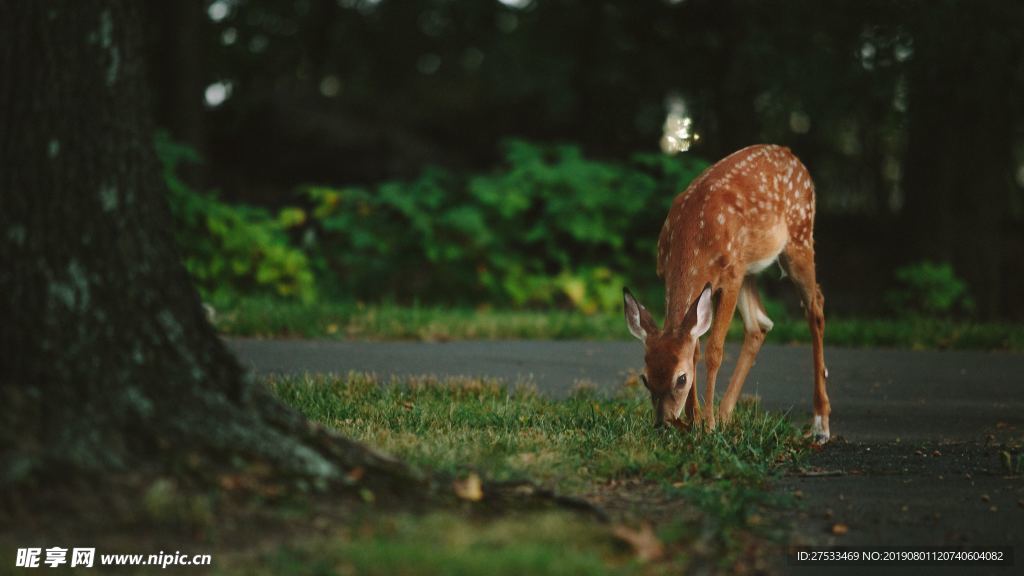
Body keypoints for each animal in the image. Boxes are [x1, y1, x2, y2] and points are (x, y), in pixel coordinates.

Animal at [622, 143, 831, 444]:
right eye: (645, 378)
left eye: (681, 379)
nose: (663, 423)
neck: (693, 239)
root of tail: (792, 155)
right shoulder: (672, 274)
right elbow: (694, 347)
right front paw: (695, 421)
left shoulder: (730, 277)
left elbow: (713, 351)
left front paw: (706, 424)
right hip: (750, 268)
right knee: (760, 324)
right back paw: (725, 414)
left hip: (799, 237)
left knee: (815, 307)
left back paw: (820, 424)